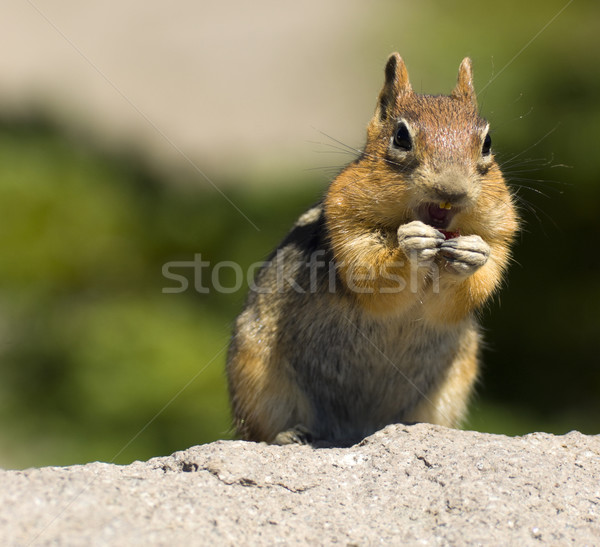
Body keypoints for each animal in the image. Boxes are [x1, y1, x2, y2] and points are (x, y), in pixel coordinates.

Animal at [227, 53, 516, 444]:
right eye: (401, 136)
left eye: (487, 142)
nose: (451, 190)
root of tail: (356, 429)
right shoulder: (348, 229)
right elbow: (373, 275)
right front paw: (410, 245)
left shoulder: (499, 235)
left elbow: (463, 293)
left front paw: (473, 254)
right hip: (255, 374)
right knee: (257, 432)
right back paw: (290, 434)